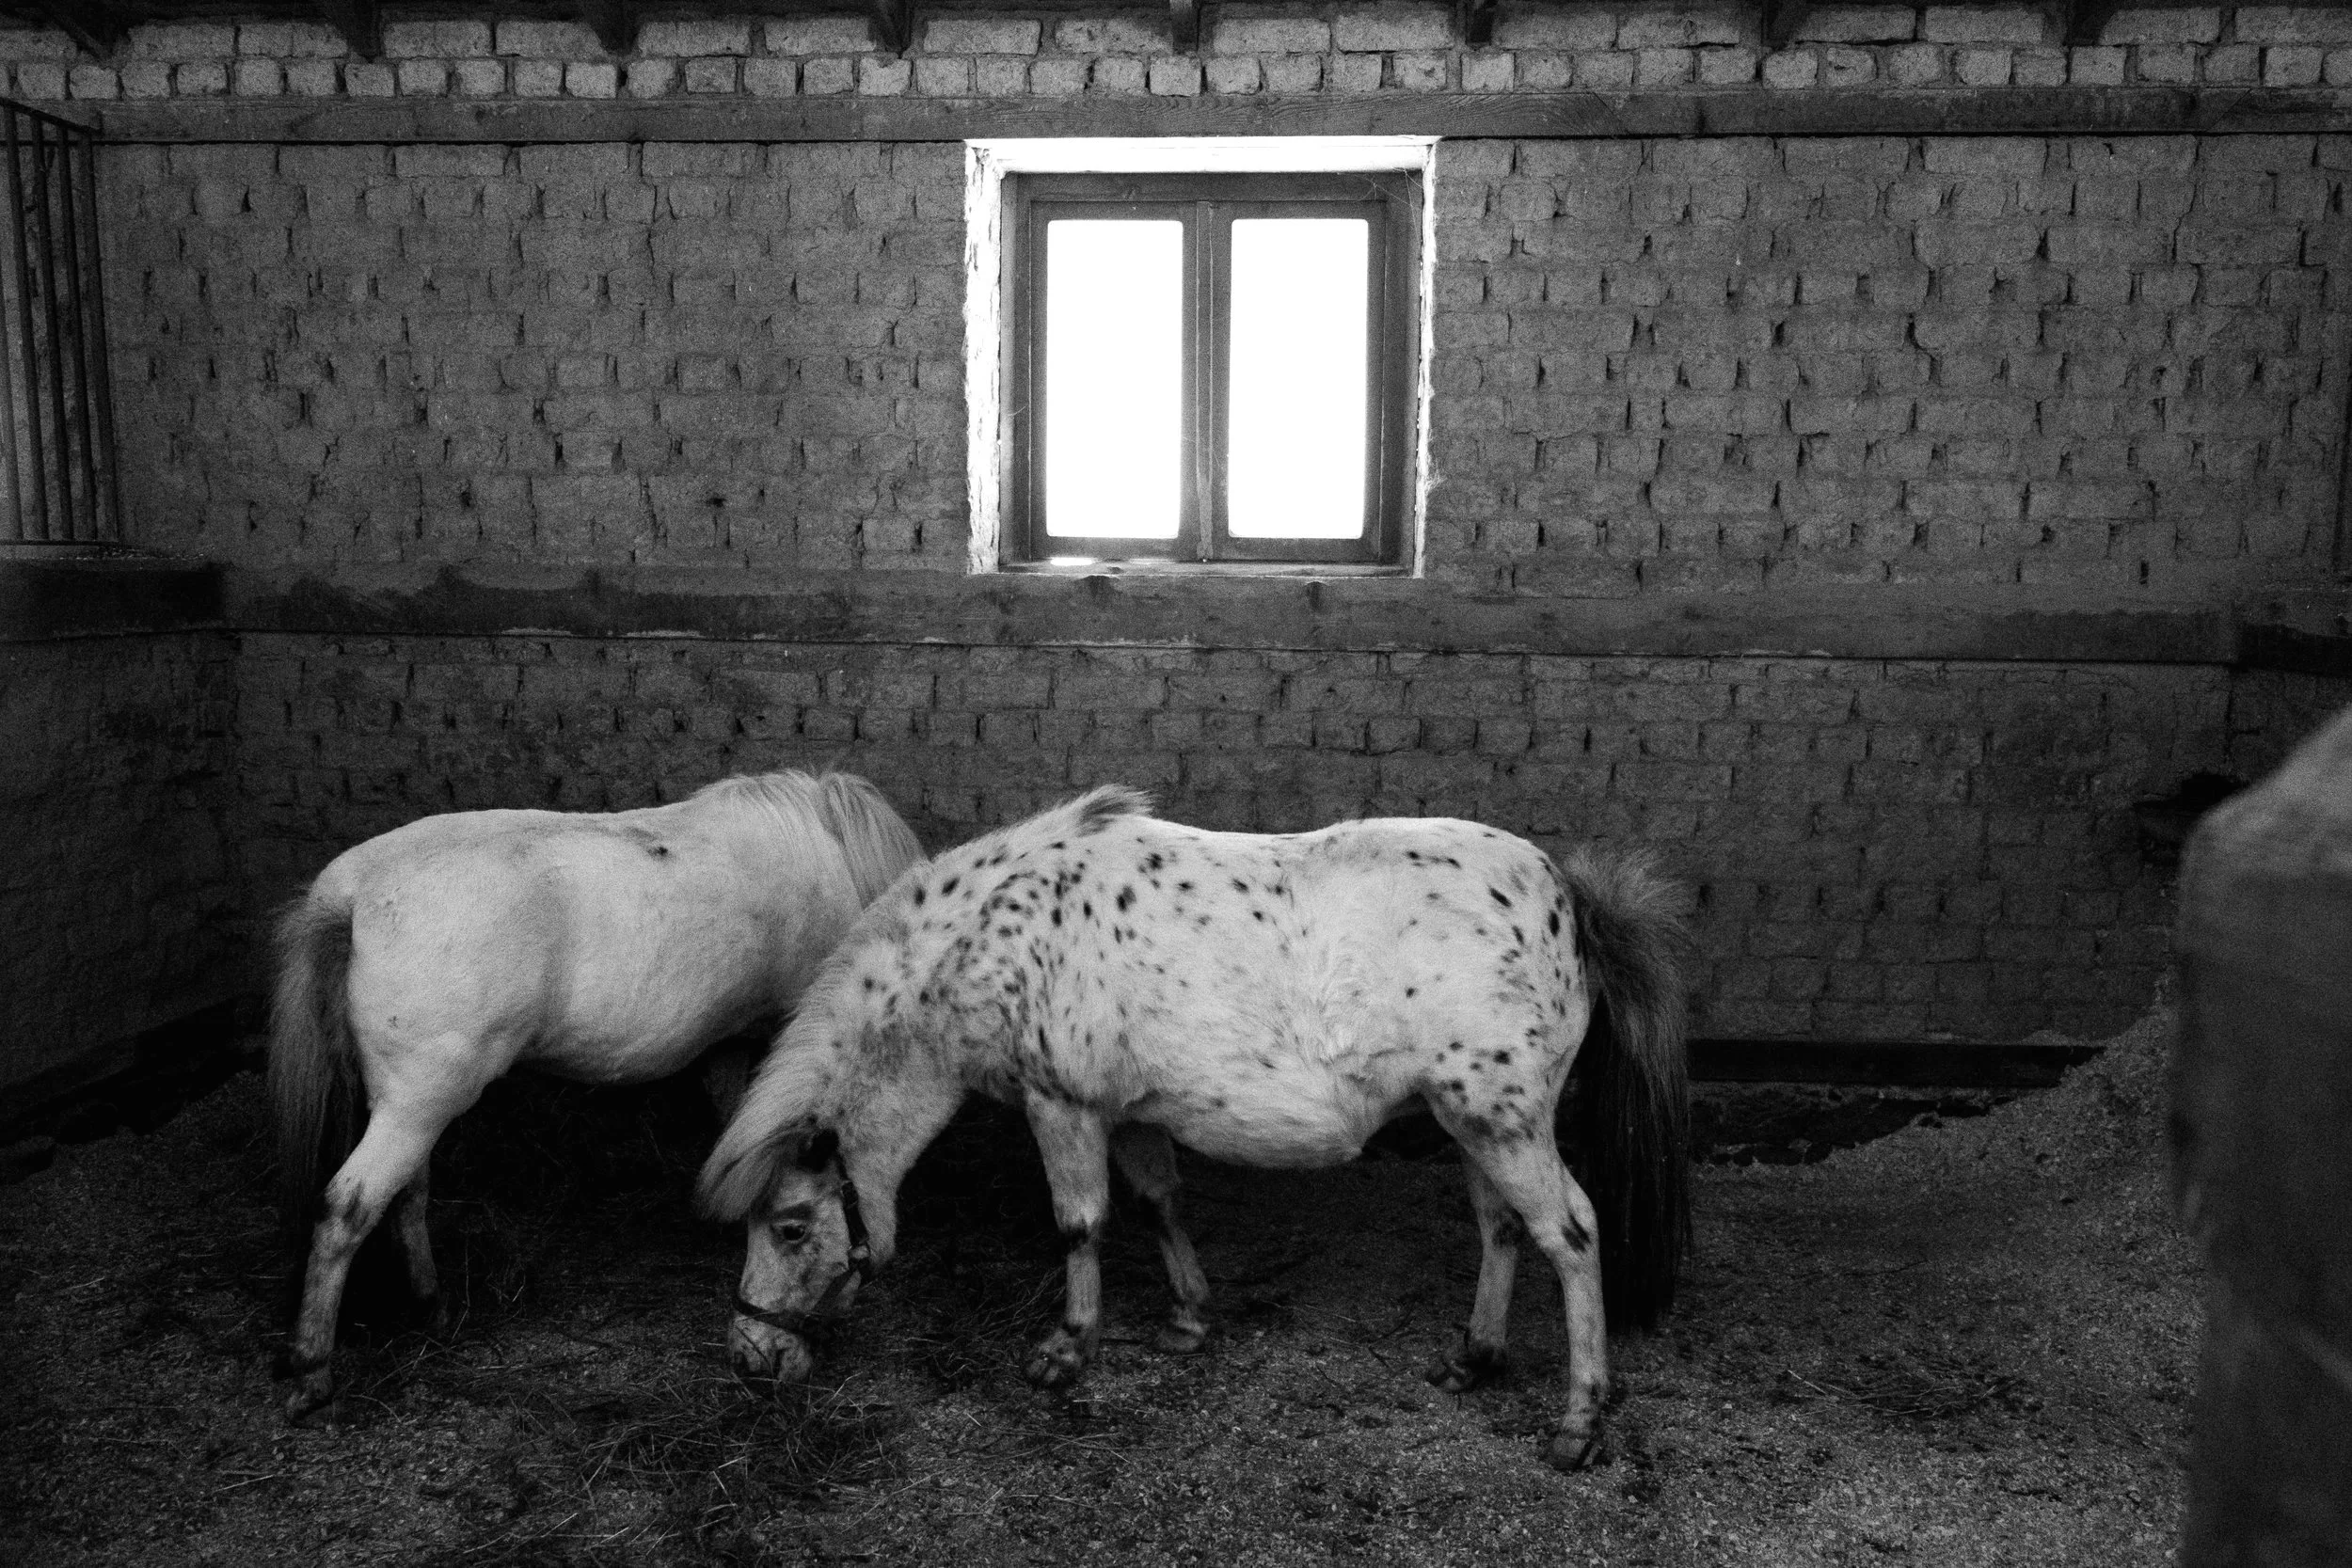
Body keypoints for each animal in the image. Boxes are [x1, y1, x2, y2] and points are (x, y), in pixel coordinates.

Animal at [269, 769, 924, 1420]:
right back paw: (312, 1368)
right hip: (417, 1108)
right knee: (347, 1209)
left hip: (412, 1108)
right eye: (794, 1233)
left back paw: (432, 1304)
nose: (762, 1364)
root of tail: (351, 895)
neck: (833, 854)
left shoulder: (729, 1045)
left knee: (407, 1193)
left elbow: (735, 1125)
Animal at [697, 785, 1691, 1471]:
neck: (991, 939)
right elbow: (1160, 1203)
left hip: (1505, 1122)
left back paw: (1579, 1420)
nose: (751, 1359)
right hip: (1475, 1123)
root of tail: (1566, 895)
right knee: (1501, 1228)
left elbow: (1080, 1223)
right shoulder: (1130, 1113)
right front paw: (1187, 1315)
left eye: (791, 1226)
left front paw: (1068, 1350)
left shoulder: (1061, 1105)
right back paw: (1474, 1358)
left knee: (1570, 1234)